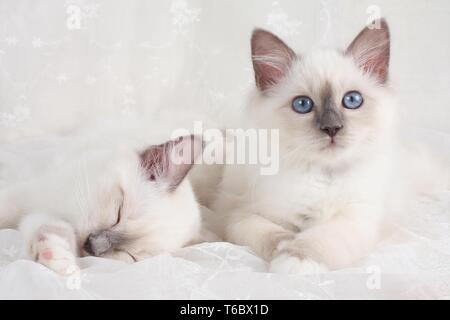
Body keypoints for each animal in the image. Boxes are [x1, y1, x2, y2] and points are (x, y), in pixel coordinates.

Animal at [213, 19, 400, 276]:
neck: (321, 175)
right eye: (303, 105)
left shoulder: (355, 218)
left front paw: (295, 261)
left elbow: (318, 239)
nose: (332, 128)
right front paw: (285, 246)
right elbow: (270, 233)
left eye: (352, 100)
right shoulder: (238, 213)